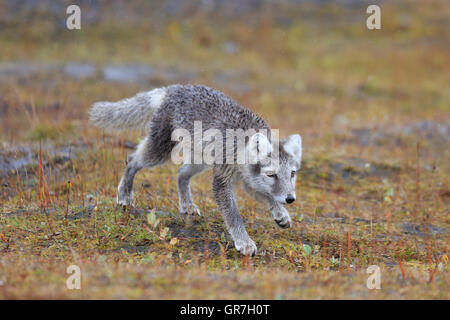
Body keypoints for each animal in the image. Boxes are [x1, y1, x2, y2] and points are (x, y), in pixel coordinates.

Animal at [90, 84, 302, 255]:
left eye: (292, 174)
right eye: (272, 175)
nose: (291, 199)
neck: (241, 146)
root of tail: (174, 89)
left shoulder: (250, 180)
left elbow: (268, 196)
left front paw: (281, 214)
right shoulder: (222, 180)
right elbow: (233, 215)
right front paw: (244, 242)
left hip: (201, 160)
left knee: (181, 174)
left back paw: (186, 205)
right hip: (160, 151)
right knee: (132, 161)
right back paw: (124, 195)